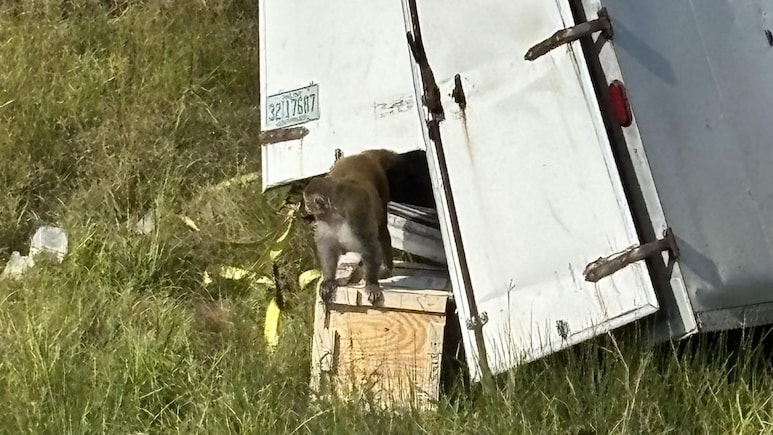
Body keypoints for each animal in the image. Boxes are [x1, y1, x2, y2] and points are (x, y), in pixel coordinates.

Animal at [303, 149, 403, 306]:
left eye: (308, 202)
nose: (306, 207)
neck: (336, 212)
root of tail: (362, 156)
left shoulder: (356, 212)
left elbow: (369, 245)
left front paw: (371, 283)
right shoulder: (324, 219)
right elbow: (328, 247)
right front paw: (329, 280)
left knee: (381, 230)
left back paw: (386, 268)